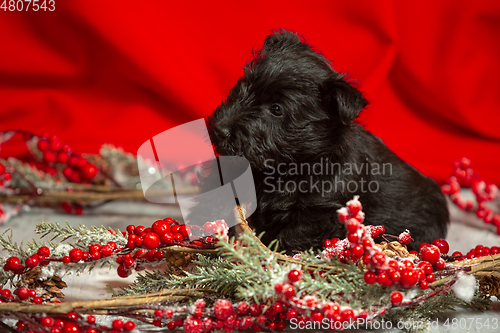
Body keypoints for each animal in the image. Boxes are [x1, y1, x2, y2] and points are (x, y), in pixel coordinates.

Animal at [198, 29, 446, 252]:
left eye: (277, 109)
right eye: (243, 86)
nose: (220, 129)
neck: (290, 166)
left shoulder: (321, 216)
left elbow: (290, 239)